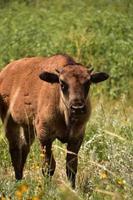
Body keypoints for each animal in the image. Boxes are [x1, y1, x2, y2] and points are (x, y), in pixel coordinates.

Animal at [0, 54, 108, 188]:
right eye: (62, 83)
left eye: (88, 83)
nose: (77, 107)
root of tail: (5, 71)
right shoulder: (45, 136)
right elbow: (49, 167)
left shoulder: (77, 137)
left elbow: (71, 168)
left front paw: (72, 189)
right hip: (10, 122)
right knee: (15, 149)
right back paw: (17, 181)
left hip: (27, 126)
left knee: (24, 148)